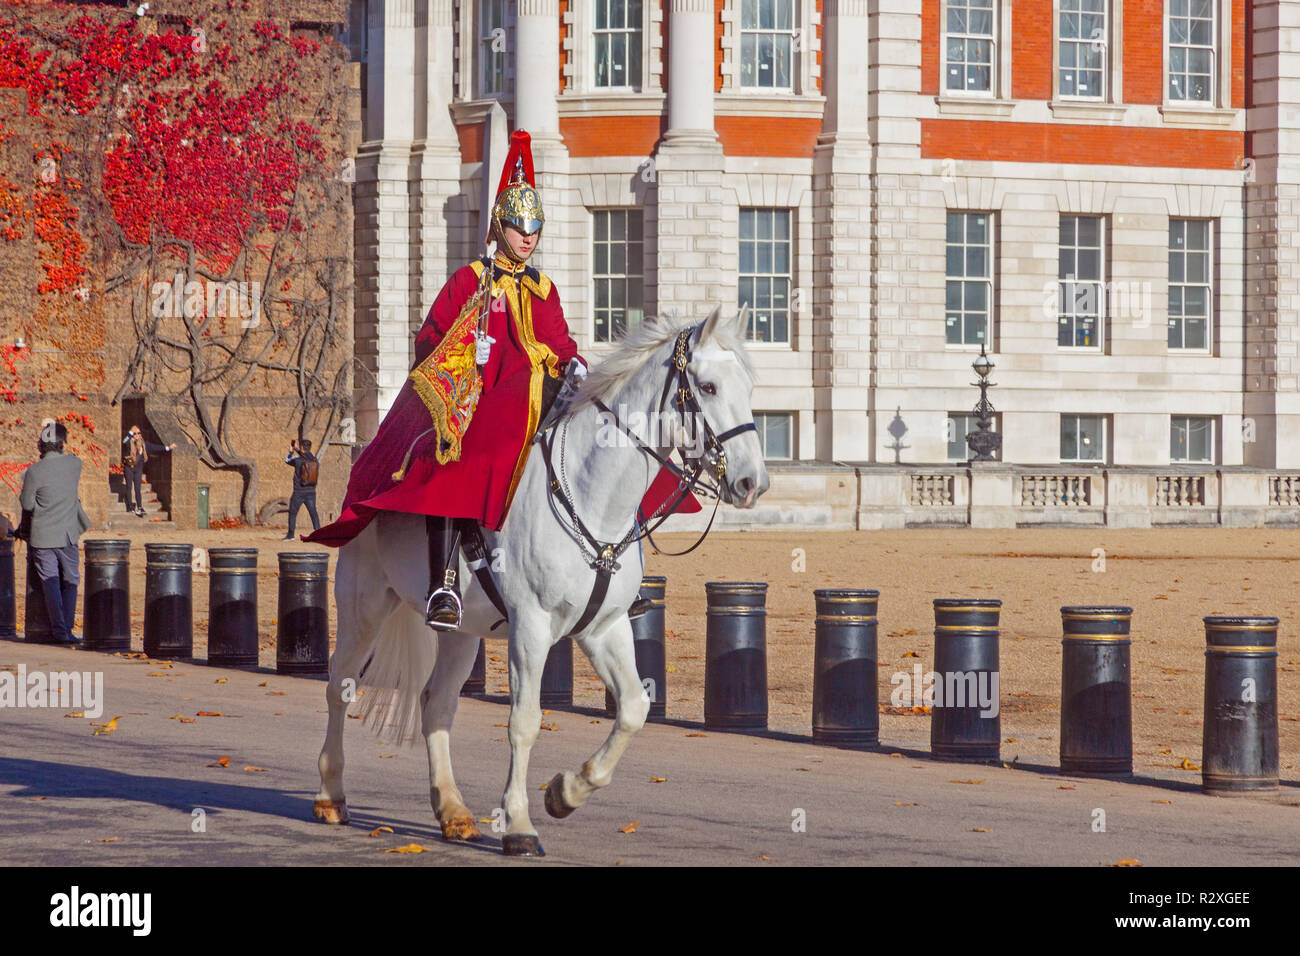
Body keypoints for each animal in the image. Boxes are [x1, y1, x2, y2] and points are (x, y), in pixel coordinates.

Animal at [310, 303, 764, 858]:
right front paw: (520, 824)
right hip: (364, 604)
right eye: (709, 386)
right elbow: (524, 721)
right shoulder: (531, 627)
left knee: (436, 704)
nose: (753, 482)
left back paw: (452, 811)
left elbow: (634, 708)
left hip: (462, 633)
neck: (594, 496)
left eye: (749, 385)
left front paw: (566, 791)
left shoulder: (605, 628)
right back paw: (332, 795)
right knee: (340, 686)